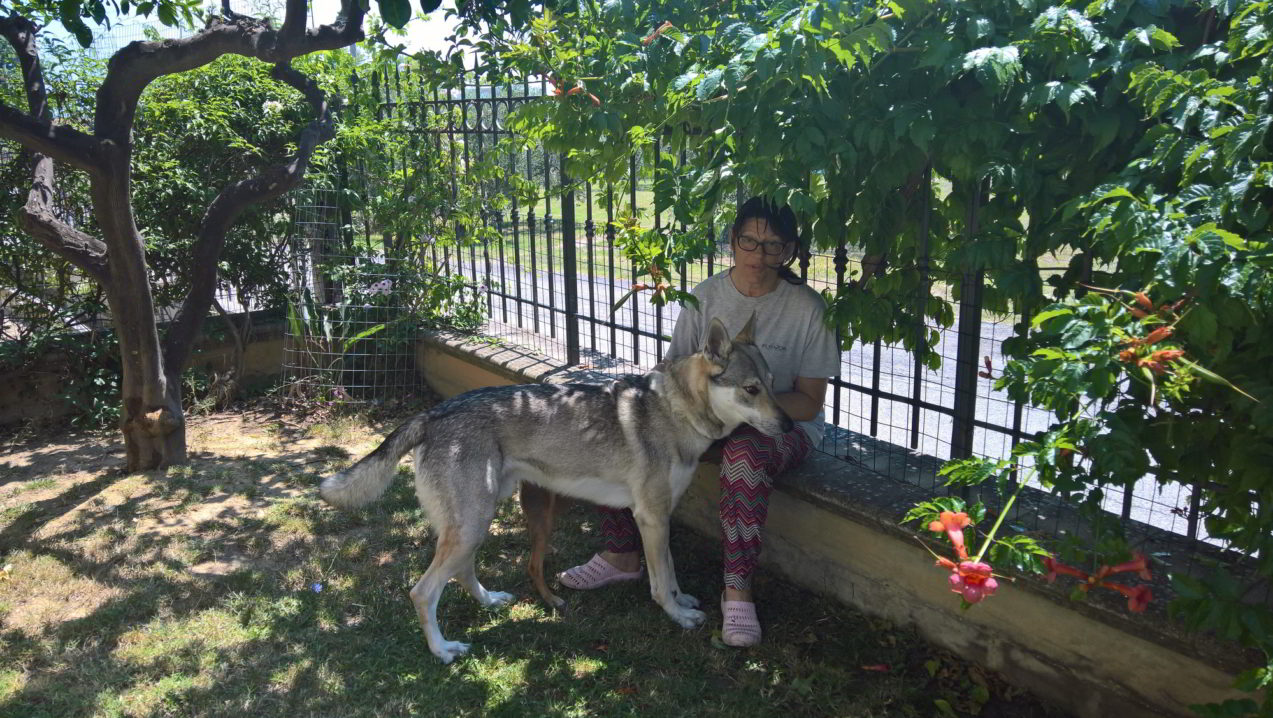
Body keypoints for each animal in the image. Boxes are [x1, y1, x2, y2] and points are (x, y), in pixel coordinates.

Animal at [319, 315, 793, 663]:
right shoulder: (651, 517)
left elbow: (672, 572)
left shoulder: (660, 518)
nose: (790, 426)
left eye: (774, 384)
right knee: (423, 592)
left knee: (462, 572)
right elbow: (660, 582)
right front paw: (678, 615)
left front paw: (684, 601)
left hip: (476, 522)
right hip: (472, 524)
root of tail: (432, 414)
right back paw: (444, 650)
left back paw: (490, 601)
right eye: (751, 389)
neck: (676, 411)